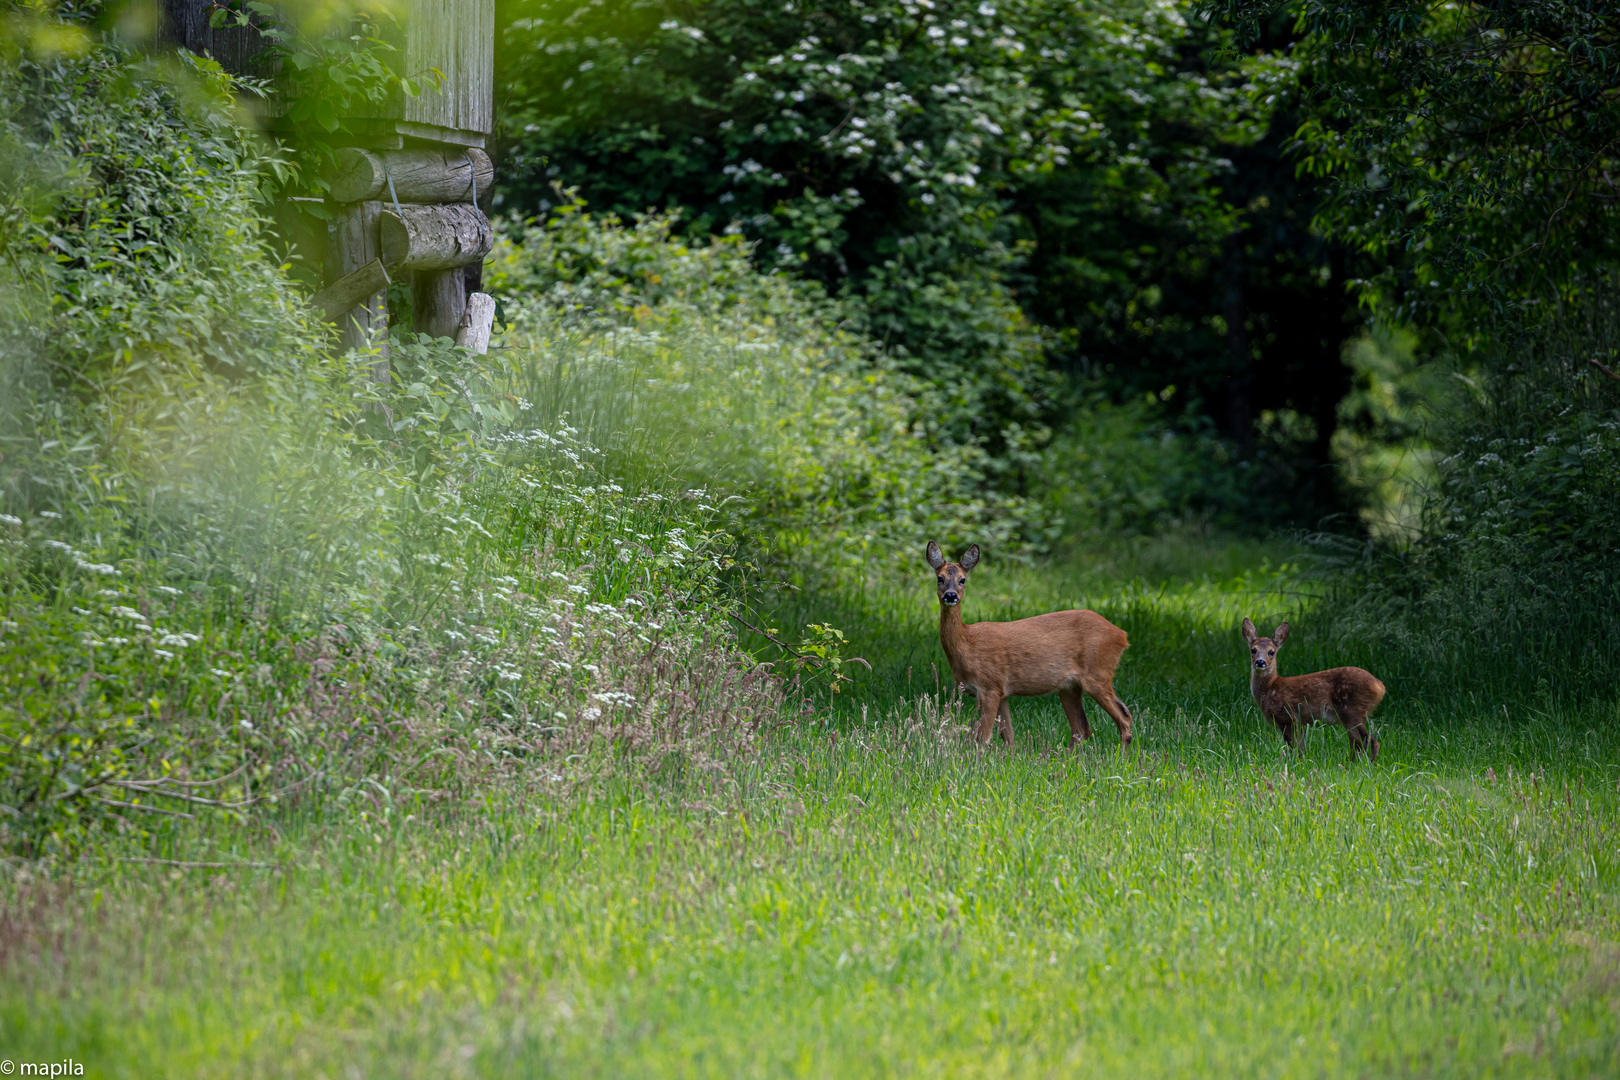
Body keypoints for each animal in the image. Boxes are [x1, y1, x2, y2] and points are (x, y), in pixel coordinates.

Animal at [933, 540, 1134, 751]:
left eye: (962, 580)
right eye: (940, 578)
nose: (950, 595)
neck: (967, 642)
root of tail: (1121, 635)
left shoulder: (990, 686)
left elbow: (983, 737)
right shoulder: (1002, 692)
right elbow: (1008, 737)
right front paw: (1009, 757)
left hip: (1097, 672)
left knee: (1124, 716)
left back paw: (1122, 755)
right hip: (1069, 686)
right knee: (1082, 728)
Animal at [1237, 621, 1380, 764]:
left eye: (1271, 652)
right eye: (1253, 650)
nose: (1260, 662)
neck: (1271, 688)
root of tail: (1379, 686)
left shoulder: (1287, 717)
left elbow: (1292, 748)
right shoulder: (1301, 723)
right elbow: (1301, 748)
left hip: (1350, 709)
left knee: (1369, 741)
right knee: (1357, 743)